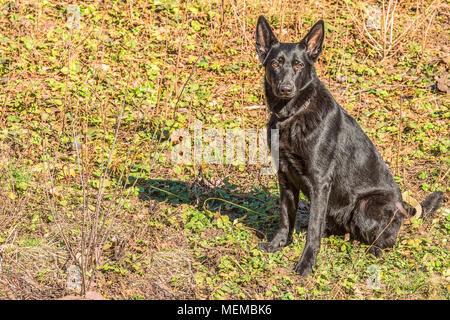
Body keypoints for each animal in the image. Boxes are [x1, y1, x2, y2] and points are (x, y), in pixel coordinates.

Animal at [255, 15, 444, 276]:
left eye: (299, 66)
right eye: (275, 64)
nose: (285, 88)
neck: (293, 114)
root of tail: (403, 210)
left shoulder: (320, 182)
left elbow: (312, 231)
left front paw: (306, 264)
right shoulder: (285, 177)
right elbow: (285, 217)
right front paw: (278, 245)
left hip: (366, 206)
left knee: (385, 242)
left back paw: (372, 251)